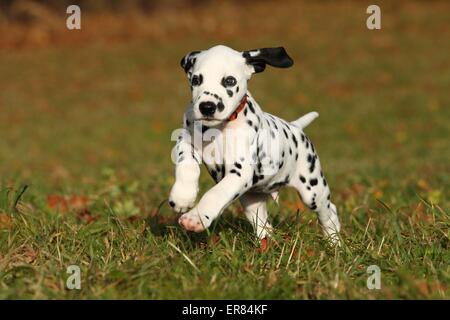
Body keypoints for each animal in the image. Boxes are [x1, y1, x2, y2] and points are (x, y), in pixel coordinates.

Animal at [169, 45, 342, 244]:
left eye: (229, 80)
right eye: (196, 79)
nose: (207, 106)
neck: (220, 128)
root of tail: (296, 127)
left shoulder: (240, 171)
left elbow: (216, 193)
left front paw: (196, 217)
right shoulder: (185, 141)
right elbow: (187, 166)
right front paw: (182, 197)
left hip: (312, 191)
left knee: (329, 211)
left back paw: (334, 242)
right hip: (252, 201)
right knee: (264, 225)